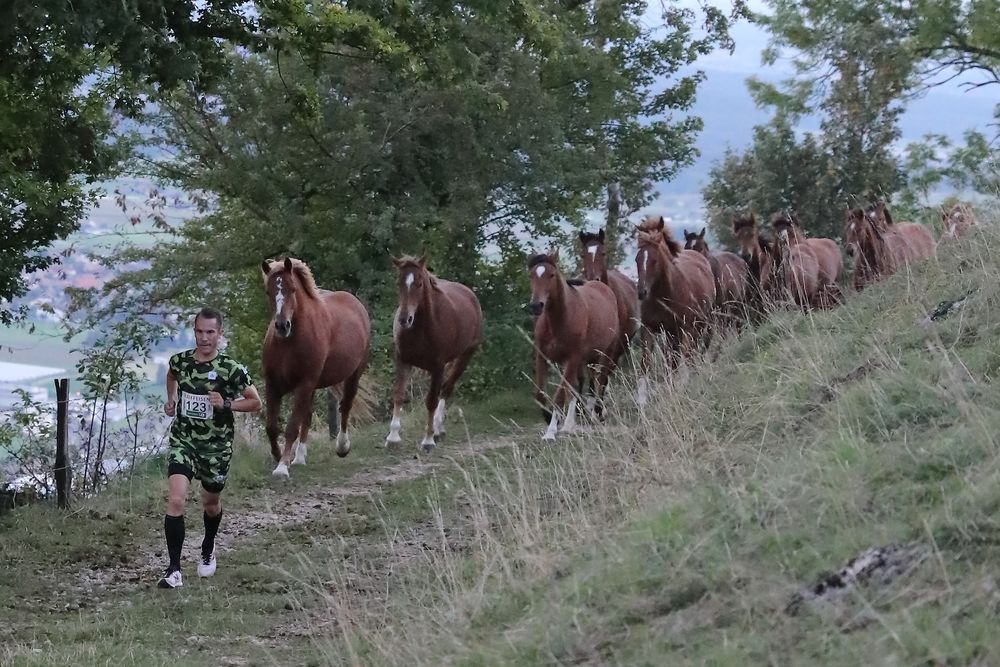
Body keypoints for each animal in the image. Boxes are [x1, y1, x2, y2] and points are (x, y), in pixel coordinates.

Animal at [262, 258, 372, 480]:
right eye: (269, 291)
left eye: (293, 289)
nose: (282, 326)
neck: (288, 343)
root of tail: (355, 303)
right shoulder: (273, 384)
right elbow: (272, 426)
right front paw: (278, 457)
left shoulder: (304, 384)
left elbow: (292, 427)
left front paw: (282, 467)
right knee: (308, 416)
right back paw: (300, 458)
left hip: (352, 375)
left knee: (345, 406)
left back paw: (342, 446)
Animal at [384, 256, 482, 454]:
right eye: (398, 282)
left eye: (420, 283)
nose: (404, 319)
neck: (422, 329)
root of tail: (470, 293)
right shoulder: (403, 361)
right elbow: (398, 395)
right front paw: (393, 438)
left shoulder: (437, 367)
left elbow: (431, 401)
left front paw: (428, 440)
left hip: (465, 357)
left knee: (445, 390)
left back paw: (437, 430)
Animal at [528, 248, 620, 440]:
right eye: (531, 275)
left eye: (551, 274)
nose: (536, 305)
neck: (559, 319)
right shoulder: (542, 356)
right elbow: (540, 393)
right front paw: (549, 418)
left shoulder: (572, 358)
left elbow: (560, 394)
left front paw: (550, 432)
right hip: (586, 358)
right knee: (579, 384)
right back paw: (570, 424)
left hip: (605, 352)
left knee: (600, 380)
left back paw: (598, 412)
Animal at [636, 222, 716, 404]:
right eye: (637, 259)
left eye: (654, 260)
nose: (642, 292)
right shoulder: (649, 329)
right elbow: (647, 361)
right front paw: (642, 400)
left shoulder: (685, 329)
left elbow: (683, 358)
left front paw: (681, 388)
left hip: (700, 324)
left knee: (692, 352)